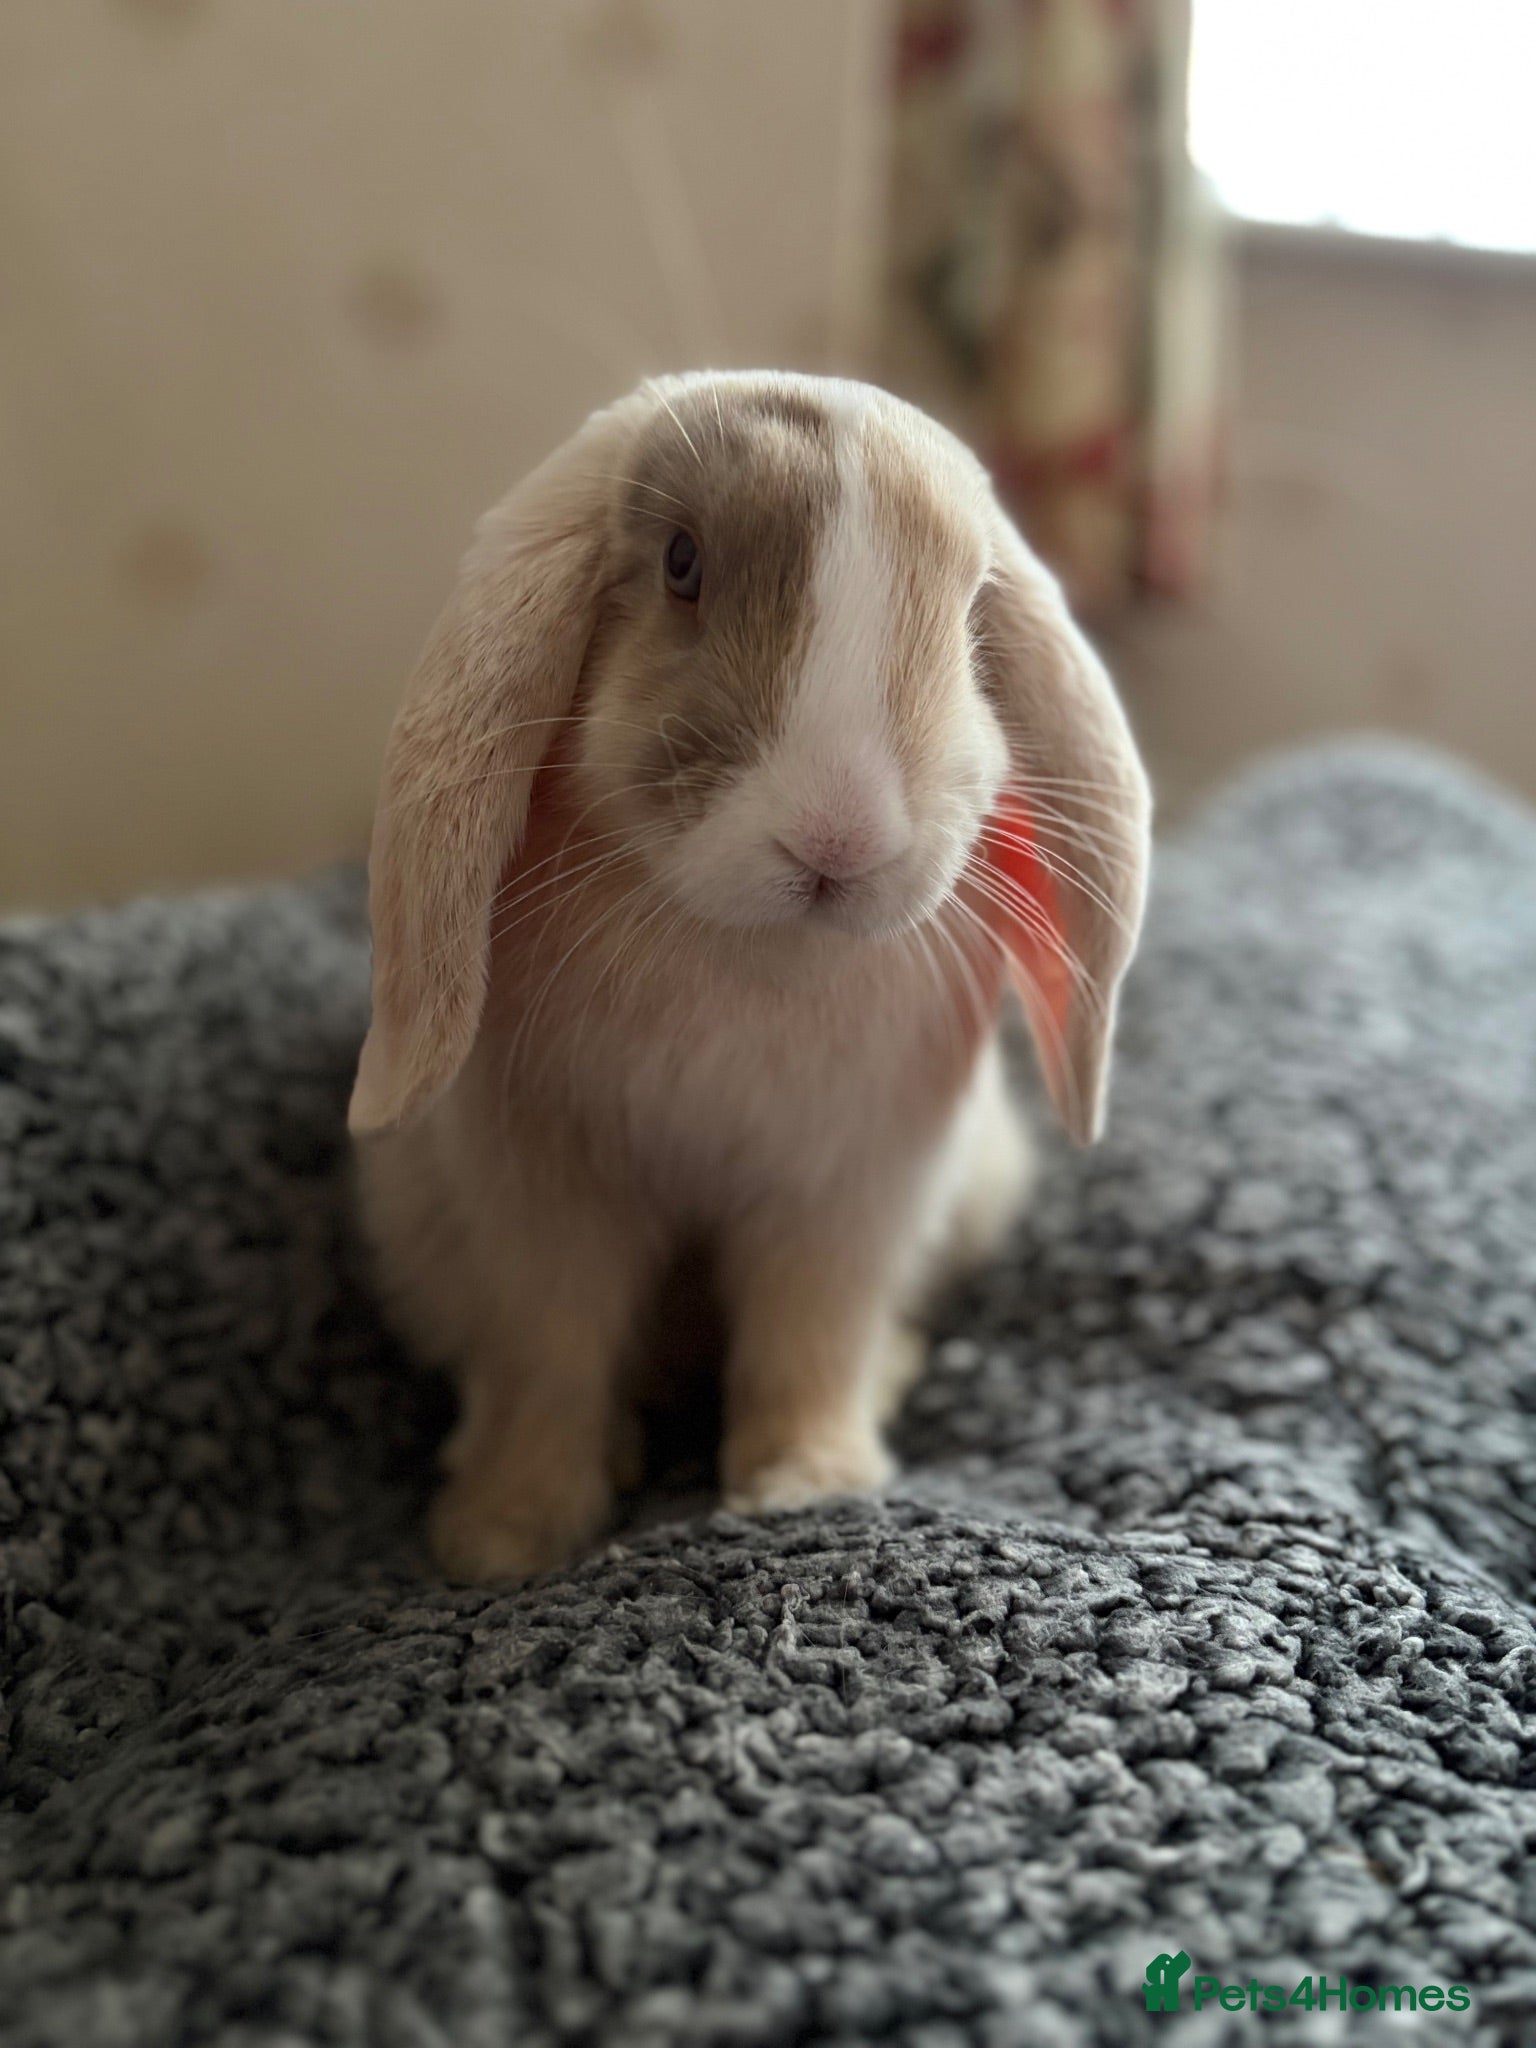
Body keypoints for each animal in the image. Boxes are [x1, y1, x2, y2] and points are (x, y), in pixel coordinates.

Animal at [349, 371, 1151, 1582]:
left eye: (972, 612)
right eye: (682, 563)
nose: (840, 838)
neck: (757, 956)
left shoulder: (845, 1197)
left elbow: (806, 1340)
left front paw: (803, 1488)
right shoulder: (542, 1189)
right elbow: (549, 1352)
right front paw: (505, 1537)